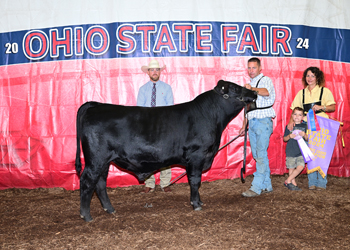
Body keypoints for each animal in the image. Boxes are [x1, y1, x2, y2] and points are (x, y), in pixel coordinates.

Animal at [75, 79, 256, 221]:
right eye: (235, 88)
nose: (254, 93)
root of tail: (96, 105)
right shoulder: (197, 155)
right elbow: (195, 180)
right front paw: (196, 204)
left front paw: (199, 202)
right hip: (96, 159)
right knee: (87, 180)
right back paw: (86, 215)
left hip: (104, 161)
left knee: (100, 182)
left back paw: (110, 209)